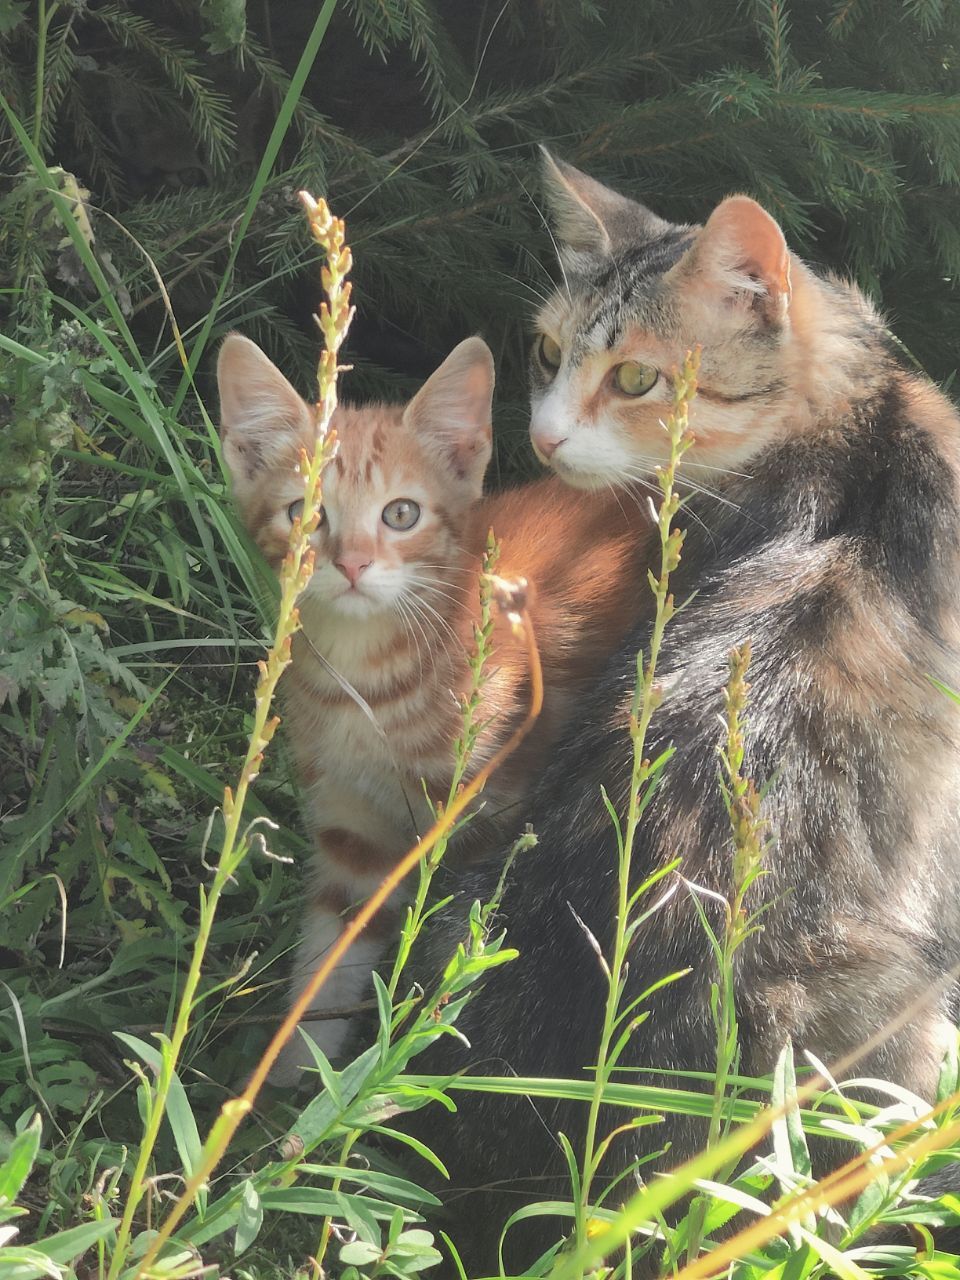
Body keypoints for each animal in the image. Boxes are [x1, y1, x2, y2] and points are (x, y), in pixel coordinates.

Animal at [217, 332, 650, 1090]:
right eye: (306, 513)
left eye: (401, 513)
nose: (352, 564)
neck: (365, 684)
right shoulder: (350, 827)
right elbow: (332, 951)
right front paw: (299, 1083)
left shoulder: (488, 811)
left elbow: (459, 946)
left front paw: (408, 1072)